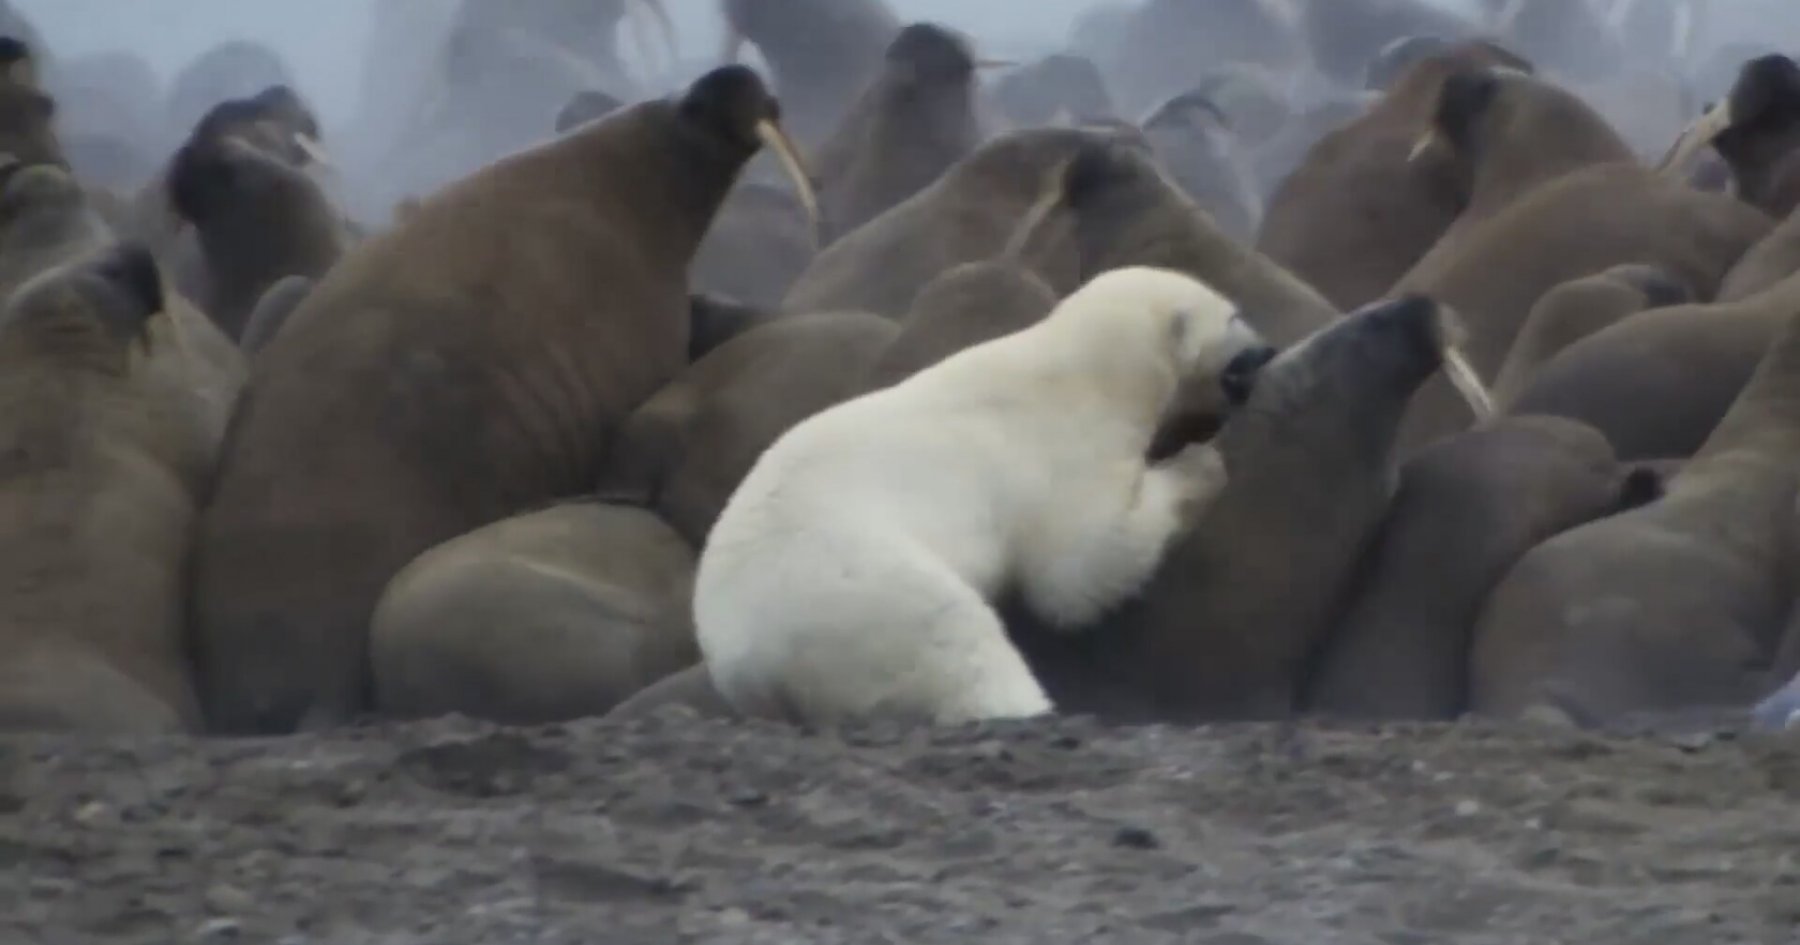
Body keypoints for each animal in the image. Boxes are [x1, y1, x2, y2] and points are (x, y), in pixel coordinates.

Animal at [694, 262, 1274, 723]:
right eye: (1234, 316)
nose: (1266, 349)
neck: (1088, 370)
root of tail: (746, 660)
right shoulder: (1061, 447)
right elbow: (1078, 571)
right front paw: (1199, 466)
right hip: (855, 588)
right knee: (953, 638)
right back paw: (1026, 707)